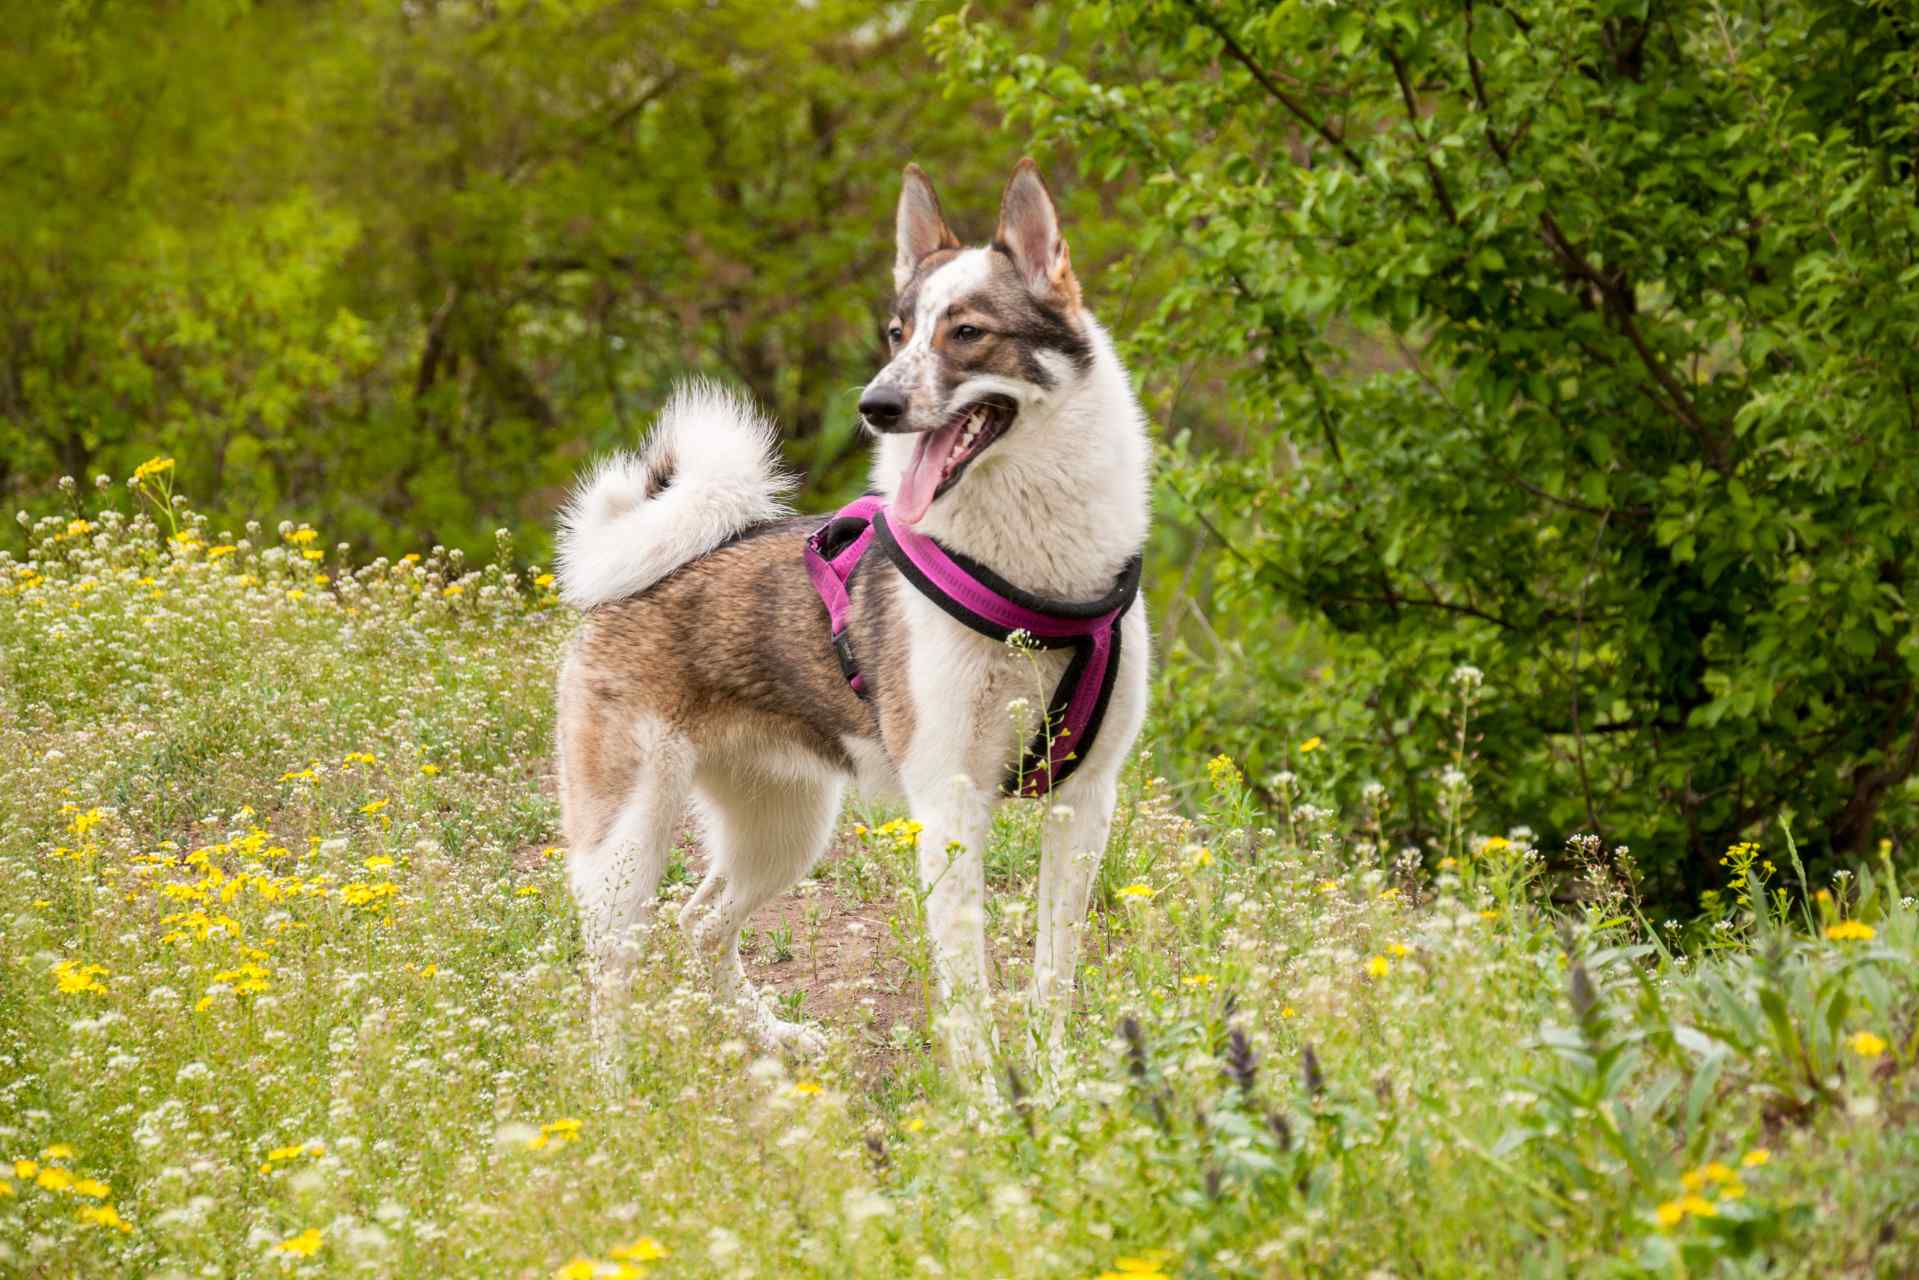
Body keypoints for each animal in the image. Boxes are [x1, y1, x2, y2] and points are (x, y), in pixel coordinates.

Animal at [556, 160, 1151, 1082]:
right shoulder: (950, 807)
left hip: (783, 829)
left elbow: (1052, 977)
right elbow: (969, 991)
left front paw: (1053, 1089)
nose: (874, 406)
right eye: (896, 332)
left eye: (967, 333)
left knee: (701, 923)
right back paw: (615, 1094)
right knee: (610, 975)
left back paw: (771, 1038)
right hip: (625, 844)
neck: (1035, 579)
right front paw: (986, 1103)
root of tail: (638, 566)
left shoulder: (1083, 807)